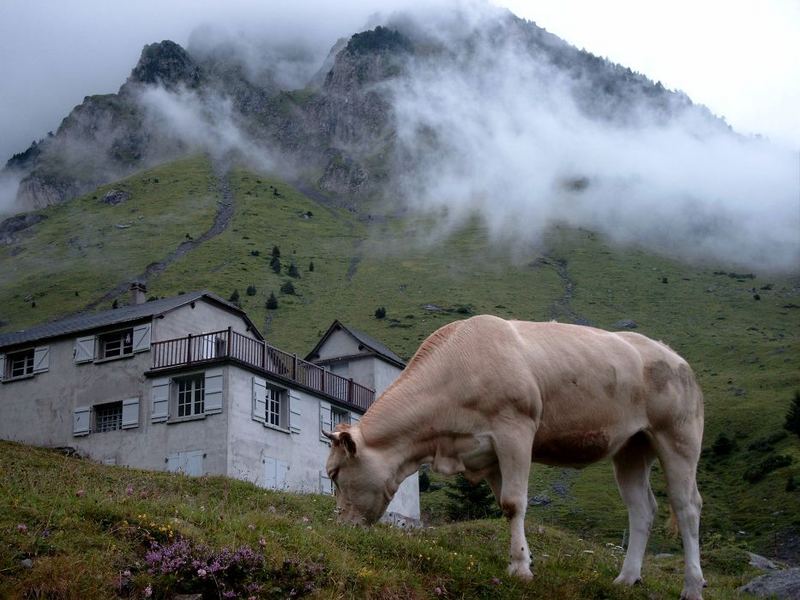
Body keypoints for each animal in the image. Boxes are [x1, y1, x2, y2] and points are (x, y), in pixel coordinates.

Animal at [324, 316, 708, 596]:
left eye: (334, 474)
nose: (340, 529)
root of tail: (675, 356)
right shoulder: (488, 453)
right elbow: (504, 503)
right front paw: (524, 559)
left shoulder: (516, 431)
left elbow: (514, 502)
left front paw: (520, 568)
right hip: (631, 446)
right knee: (642, 508)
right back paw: (626, 579)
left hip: (678, 436)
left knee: (687, 506)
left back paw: (692, 587)